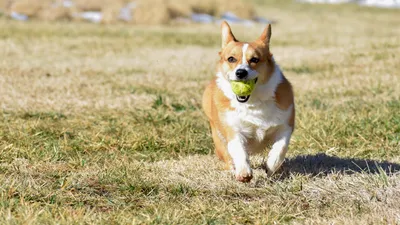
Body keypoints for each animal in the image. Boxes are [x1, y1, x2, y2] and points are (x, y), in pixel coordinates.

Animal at [203, 21, 294, 182]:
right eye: (231, 59)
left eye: (255, 59)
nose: (241, 72)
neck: (252, 102)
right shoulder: (233, 129)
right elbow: (238, 150)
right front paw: (244, 172)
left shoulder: (286, 126)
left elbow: (280, 148)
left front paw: (271, 167)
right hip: (218, 138)